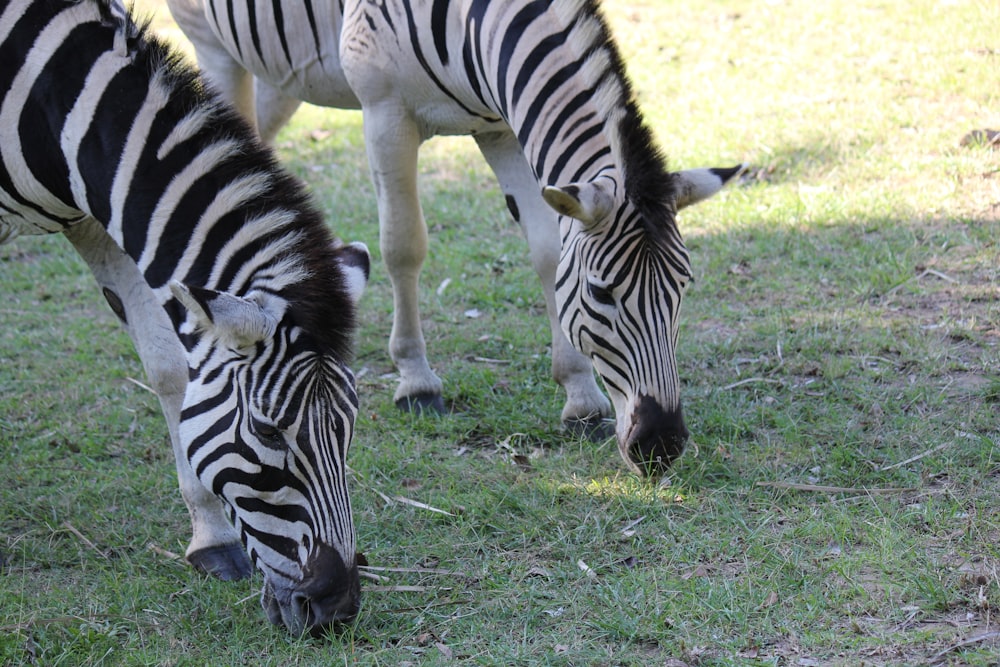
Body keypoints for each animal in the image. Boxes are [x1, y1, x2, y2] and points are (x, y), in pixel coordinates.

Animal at [0, 0, 372, 636]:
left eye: (348, 427)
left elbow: (170, 368)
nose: (337, 607)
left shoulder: (102, 210)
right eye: (268, 432)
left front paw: (210, 537)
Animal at [166, 0, 744, 474]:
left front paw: (580, 396)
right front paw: (416, 381)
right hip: (212, 45)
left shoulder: (503, 126)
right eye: (602, 293)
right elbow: (404, 246)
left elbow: (548, 254)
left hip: (279, 65)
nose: (662, 444)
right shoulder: (386, 113)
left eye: (684, 288)